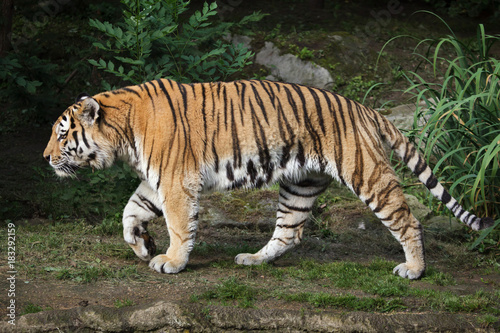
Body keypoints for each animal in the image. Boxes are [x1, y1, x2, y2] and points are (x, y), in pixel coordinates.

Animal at [44, 79, 496, 278]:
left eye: (62, 134)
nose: (45, 157)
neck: (122, 133)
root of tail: (365, 109)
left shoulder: (175, 181)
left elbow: (178, 225)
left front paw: (170, 260)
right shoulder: (159, 180)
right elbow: (130, 211)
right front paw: (141, 244)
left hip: (367, 173)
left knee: (408, 220)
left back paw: (414, 269)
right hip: (301, 183)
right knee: (289, 232)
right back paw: (254, 259)